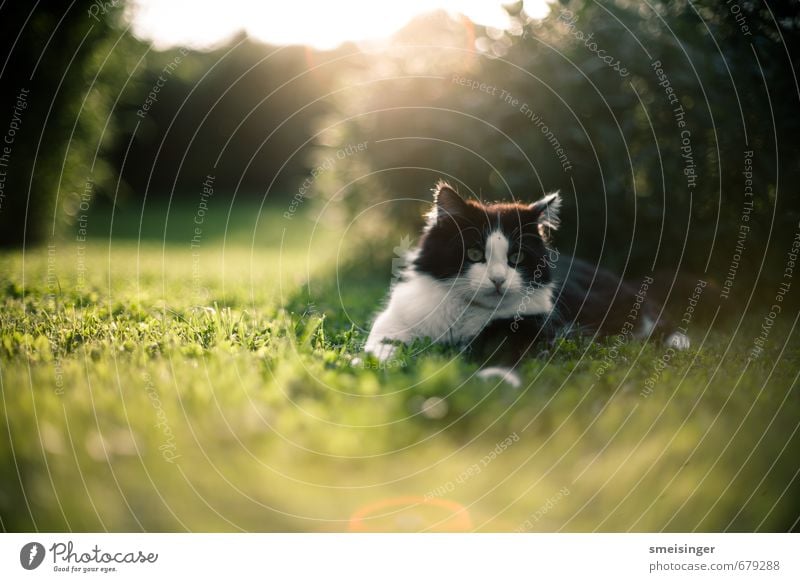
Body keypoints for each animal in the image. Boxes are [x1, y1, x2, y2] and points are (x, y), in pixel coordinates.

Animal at [366, 182, 692, 380]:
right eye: (474, 253)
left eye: (516, 257)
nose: (498, 280)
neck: (466, 313)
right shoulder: (394, 323)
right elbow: (380, 348)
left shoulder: (531, 327)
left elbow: (498, 352)